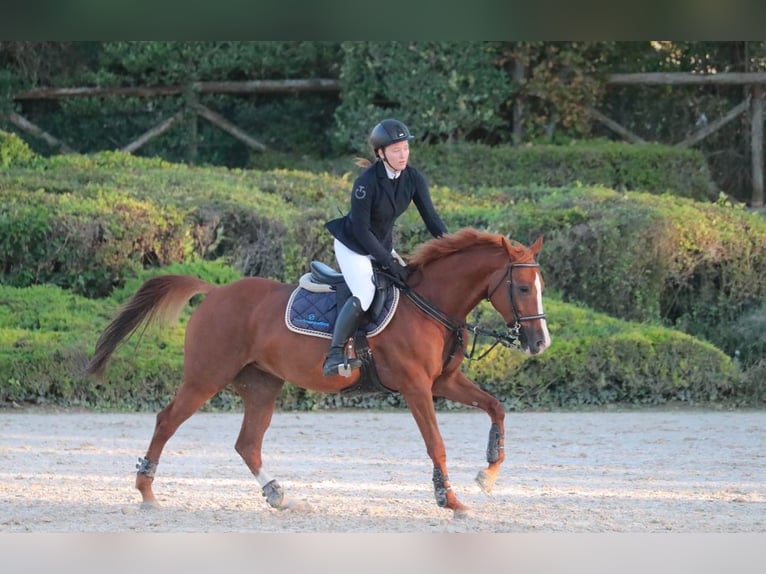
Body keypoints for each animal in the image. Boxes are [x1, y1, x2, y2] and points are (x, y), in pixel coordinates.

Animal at [85, 227, 552, 520]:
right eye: (522, 288)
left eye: (539, 287)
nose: (540, 342)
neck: (430, 303)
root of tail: (215, 292)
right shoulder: (417, 387)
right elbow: (436, 444)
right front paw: (449, 499)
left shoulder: (443, 382)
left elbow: (496, 407)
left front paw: (488, 474)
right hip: (205, 377)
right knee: (167, 421)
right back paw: (147, 492)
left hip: (262, 385)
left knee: (247, 443)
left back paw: (278, 496)